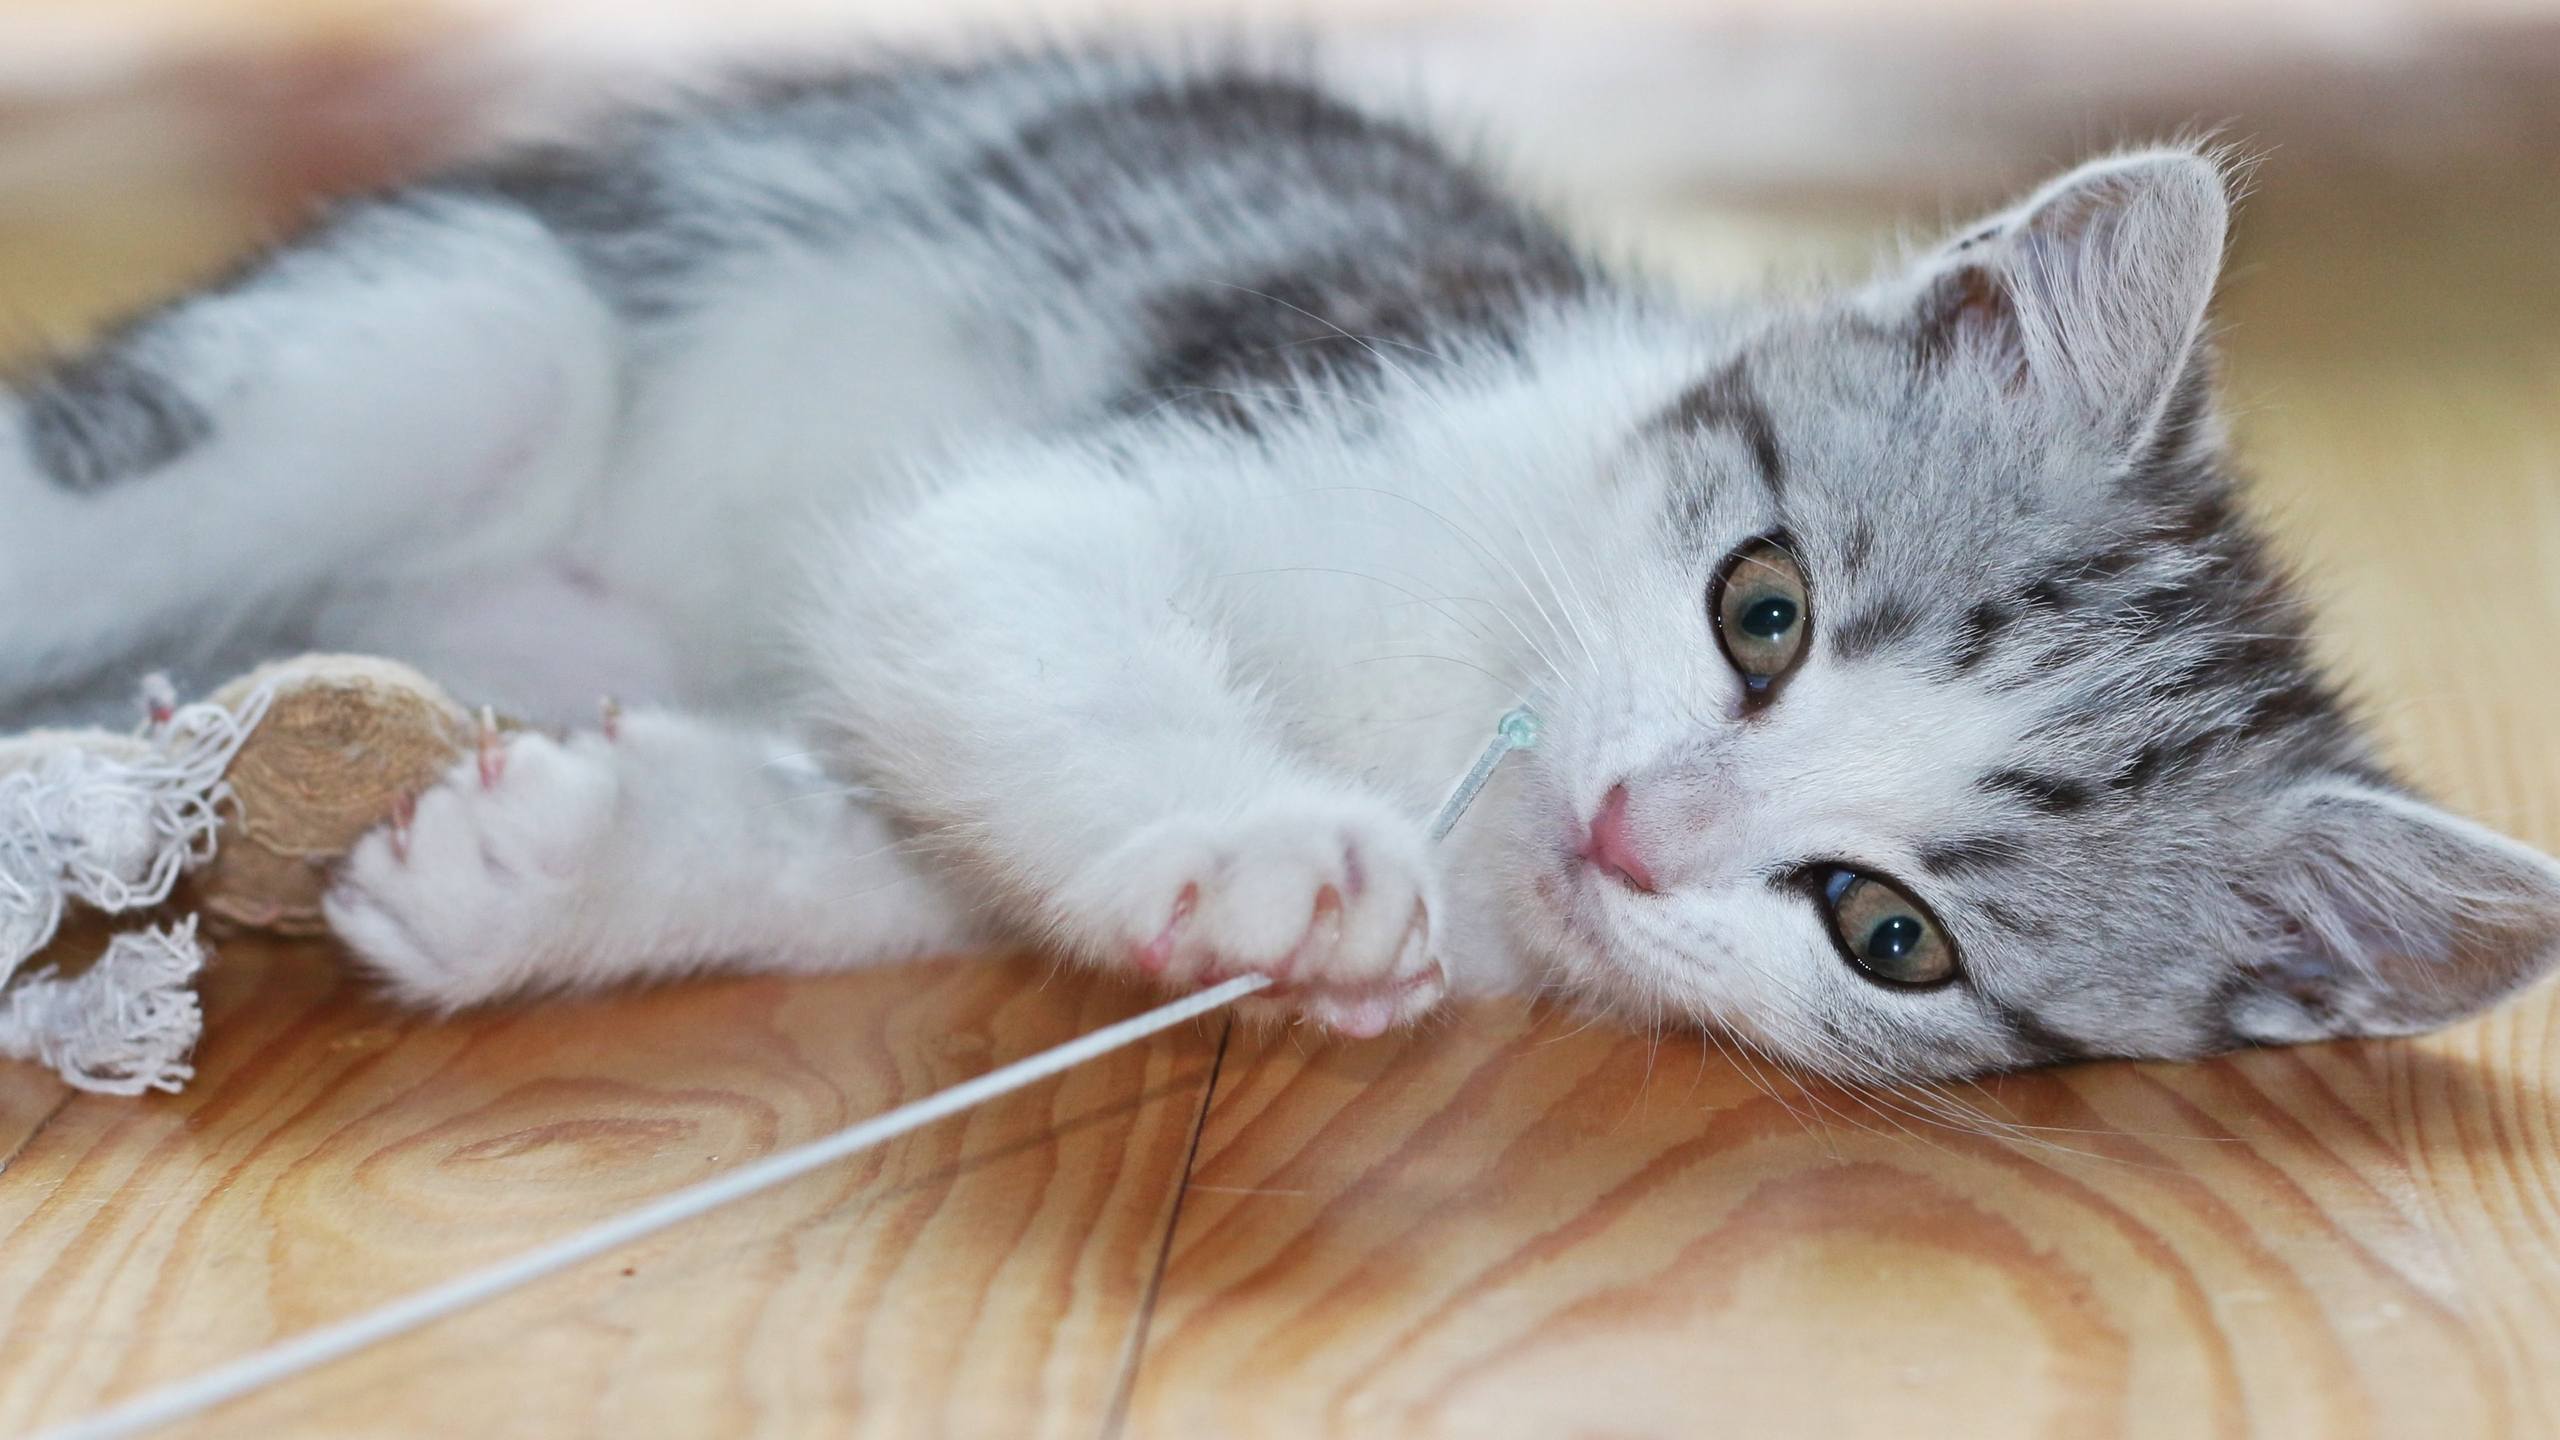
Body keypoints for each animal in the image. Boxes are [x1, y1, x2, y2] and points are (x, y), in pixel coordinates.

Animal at [5, 47, 2560, 1076]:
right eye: (1758, 607)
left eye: (1885, 932)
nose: (1627, 829)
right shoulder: (1177, 439)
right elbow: (991, 594)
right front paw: (1268, 851)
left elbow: (886, 818)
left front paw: (553, 866)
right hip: (467, 321)